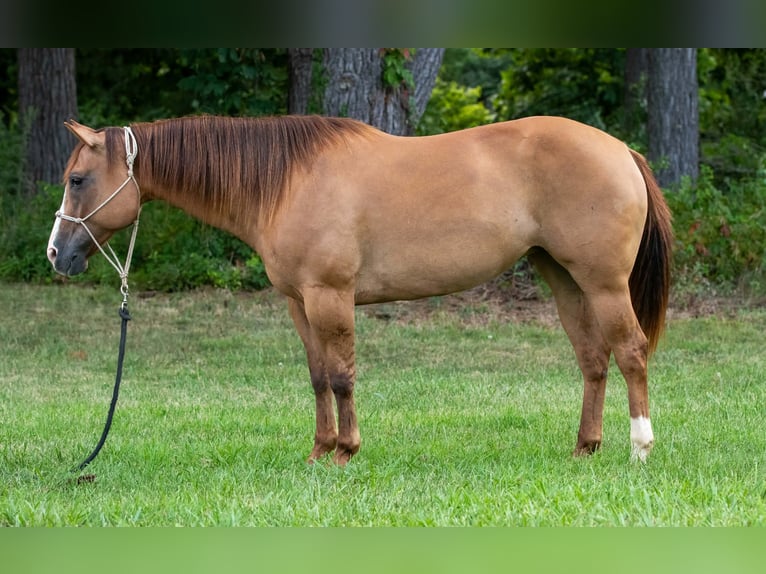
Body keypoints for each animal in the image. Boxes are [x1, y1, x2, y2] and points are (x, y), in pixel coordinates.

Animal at [47, 114, 672, 465]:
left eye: (78, 179)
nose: (57, 253)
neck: (286, 179)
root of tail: (620, 149)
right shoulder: (298, 302)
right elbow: (319, 376)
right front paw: (320, 451)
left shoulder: (330, 295)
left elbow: (343, 374)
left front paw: (346, 452)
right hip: (564, 279)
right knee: (593, 360)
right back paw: (585, 448)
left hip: (603, 283)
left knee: (631, 353)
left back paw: (641, 448)